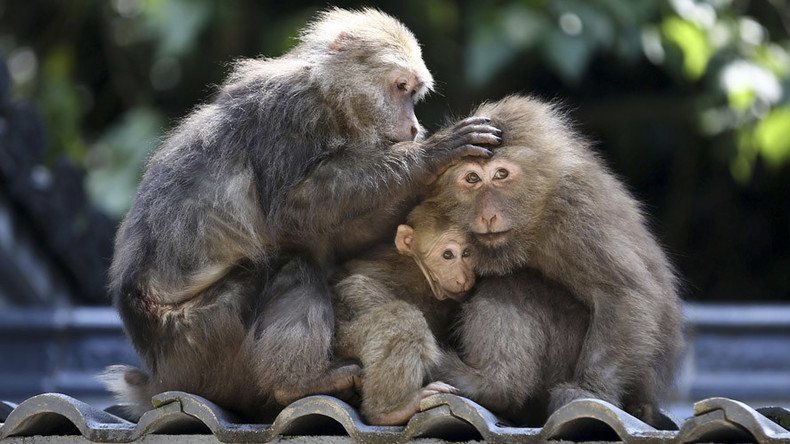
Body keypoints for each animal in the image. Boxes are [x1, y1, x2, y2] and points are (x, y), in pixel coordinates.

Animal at [332, 200, 474, 424]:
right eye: (448, 255)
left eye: (467, 253)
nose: (463, 278)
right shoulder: (407, 272)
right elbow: (354, 286)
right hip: (343, 342)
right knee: (402, 318)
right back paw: (388, 412)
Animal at [430, 95, 684, 424]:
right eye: (472, 178)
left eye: (501, 174)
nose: (488, 215)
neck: (533, 218)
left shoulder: (576, 214)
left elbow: (624, 293)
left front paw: (590, 390)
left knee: (510, 285)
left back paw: (489, 384)